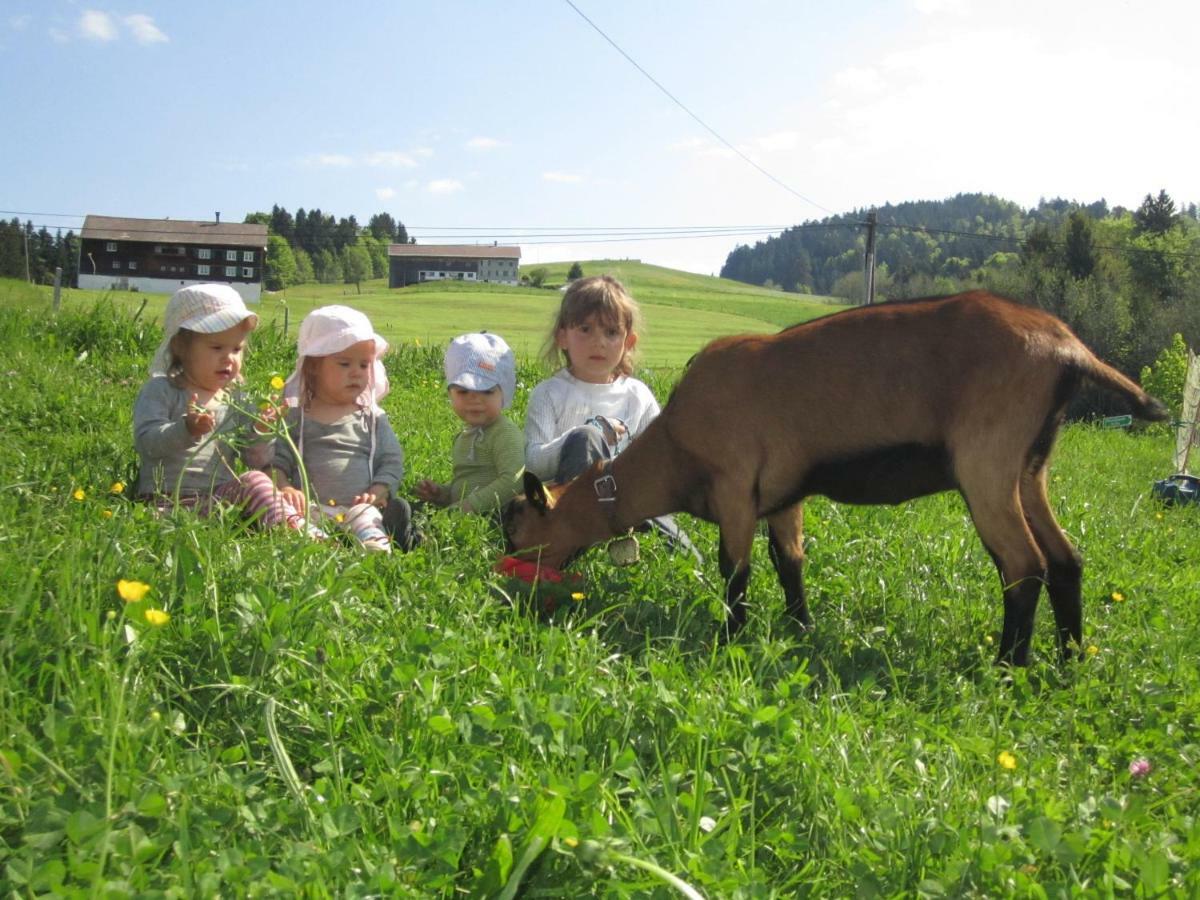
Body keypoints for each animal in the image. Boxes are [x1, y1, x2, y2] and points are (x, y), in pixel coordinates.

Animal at [504, 292, 1161, 667]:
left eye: (516, 527)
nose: (508, 580)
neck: (674, 447)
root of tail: (1066, 346)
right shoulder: (782, 495)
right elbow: (790, 560)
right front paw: (799, 630)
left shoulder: (736, 486)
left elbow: (735, 570)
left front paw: (731, 639)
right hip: (1029, 467)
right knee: (1067, 560)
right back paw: (1070, 663)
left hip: (986, 462)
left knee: (1024, 565)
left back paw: (1007, 668)